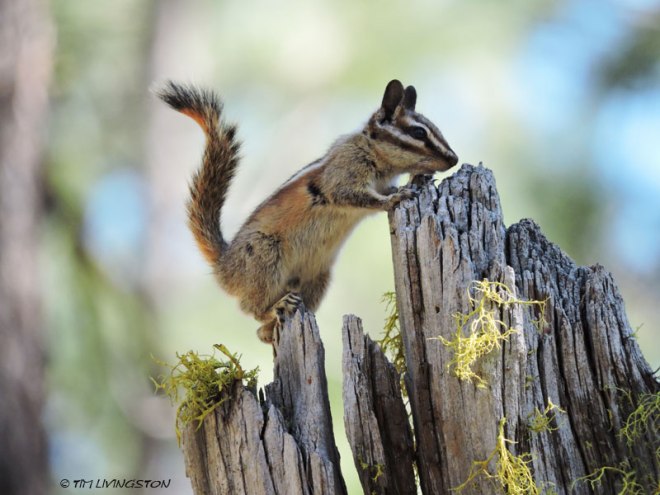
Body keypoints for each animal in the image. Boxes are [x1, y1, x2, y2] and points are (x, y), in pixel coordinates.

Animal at [156, 79, 458, 343]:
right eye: (418, 133)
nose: (453, 159)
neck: (373, 152)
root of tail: (223, 266)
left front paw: (417, 179)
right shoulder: (343, 173)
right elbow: (355, 196)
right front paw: (399, 196)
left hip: (317, 279)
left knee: (260, 328)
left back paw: (268, 331)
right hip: (264, 255)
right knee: (249, 308)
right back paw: (275, 307)